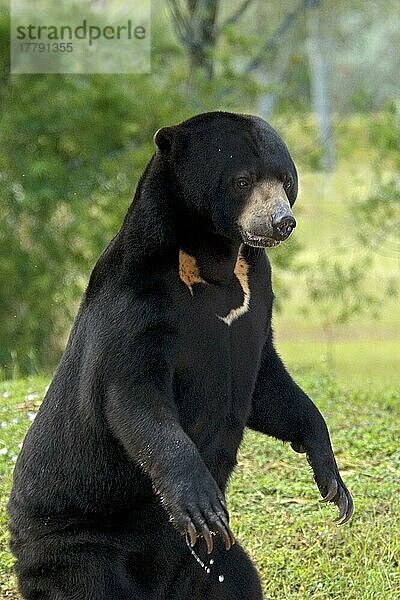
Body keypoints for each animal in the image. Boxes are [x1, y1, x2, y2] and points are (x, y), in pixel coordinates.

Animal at [8, 111, 354, 596]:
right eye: (243, 180)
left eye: (286, 181)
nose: (281, 222)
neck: (213, 258)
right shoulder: (138, 299)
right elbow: (135, 396)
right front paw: (199, 502)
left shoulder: (257, 297)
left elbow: (269, 387)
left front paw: (333, 482)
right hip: (76, 548)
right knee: (89, 582)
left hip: (202, 561)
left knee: (235, 579)